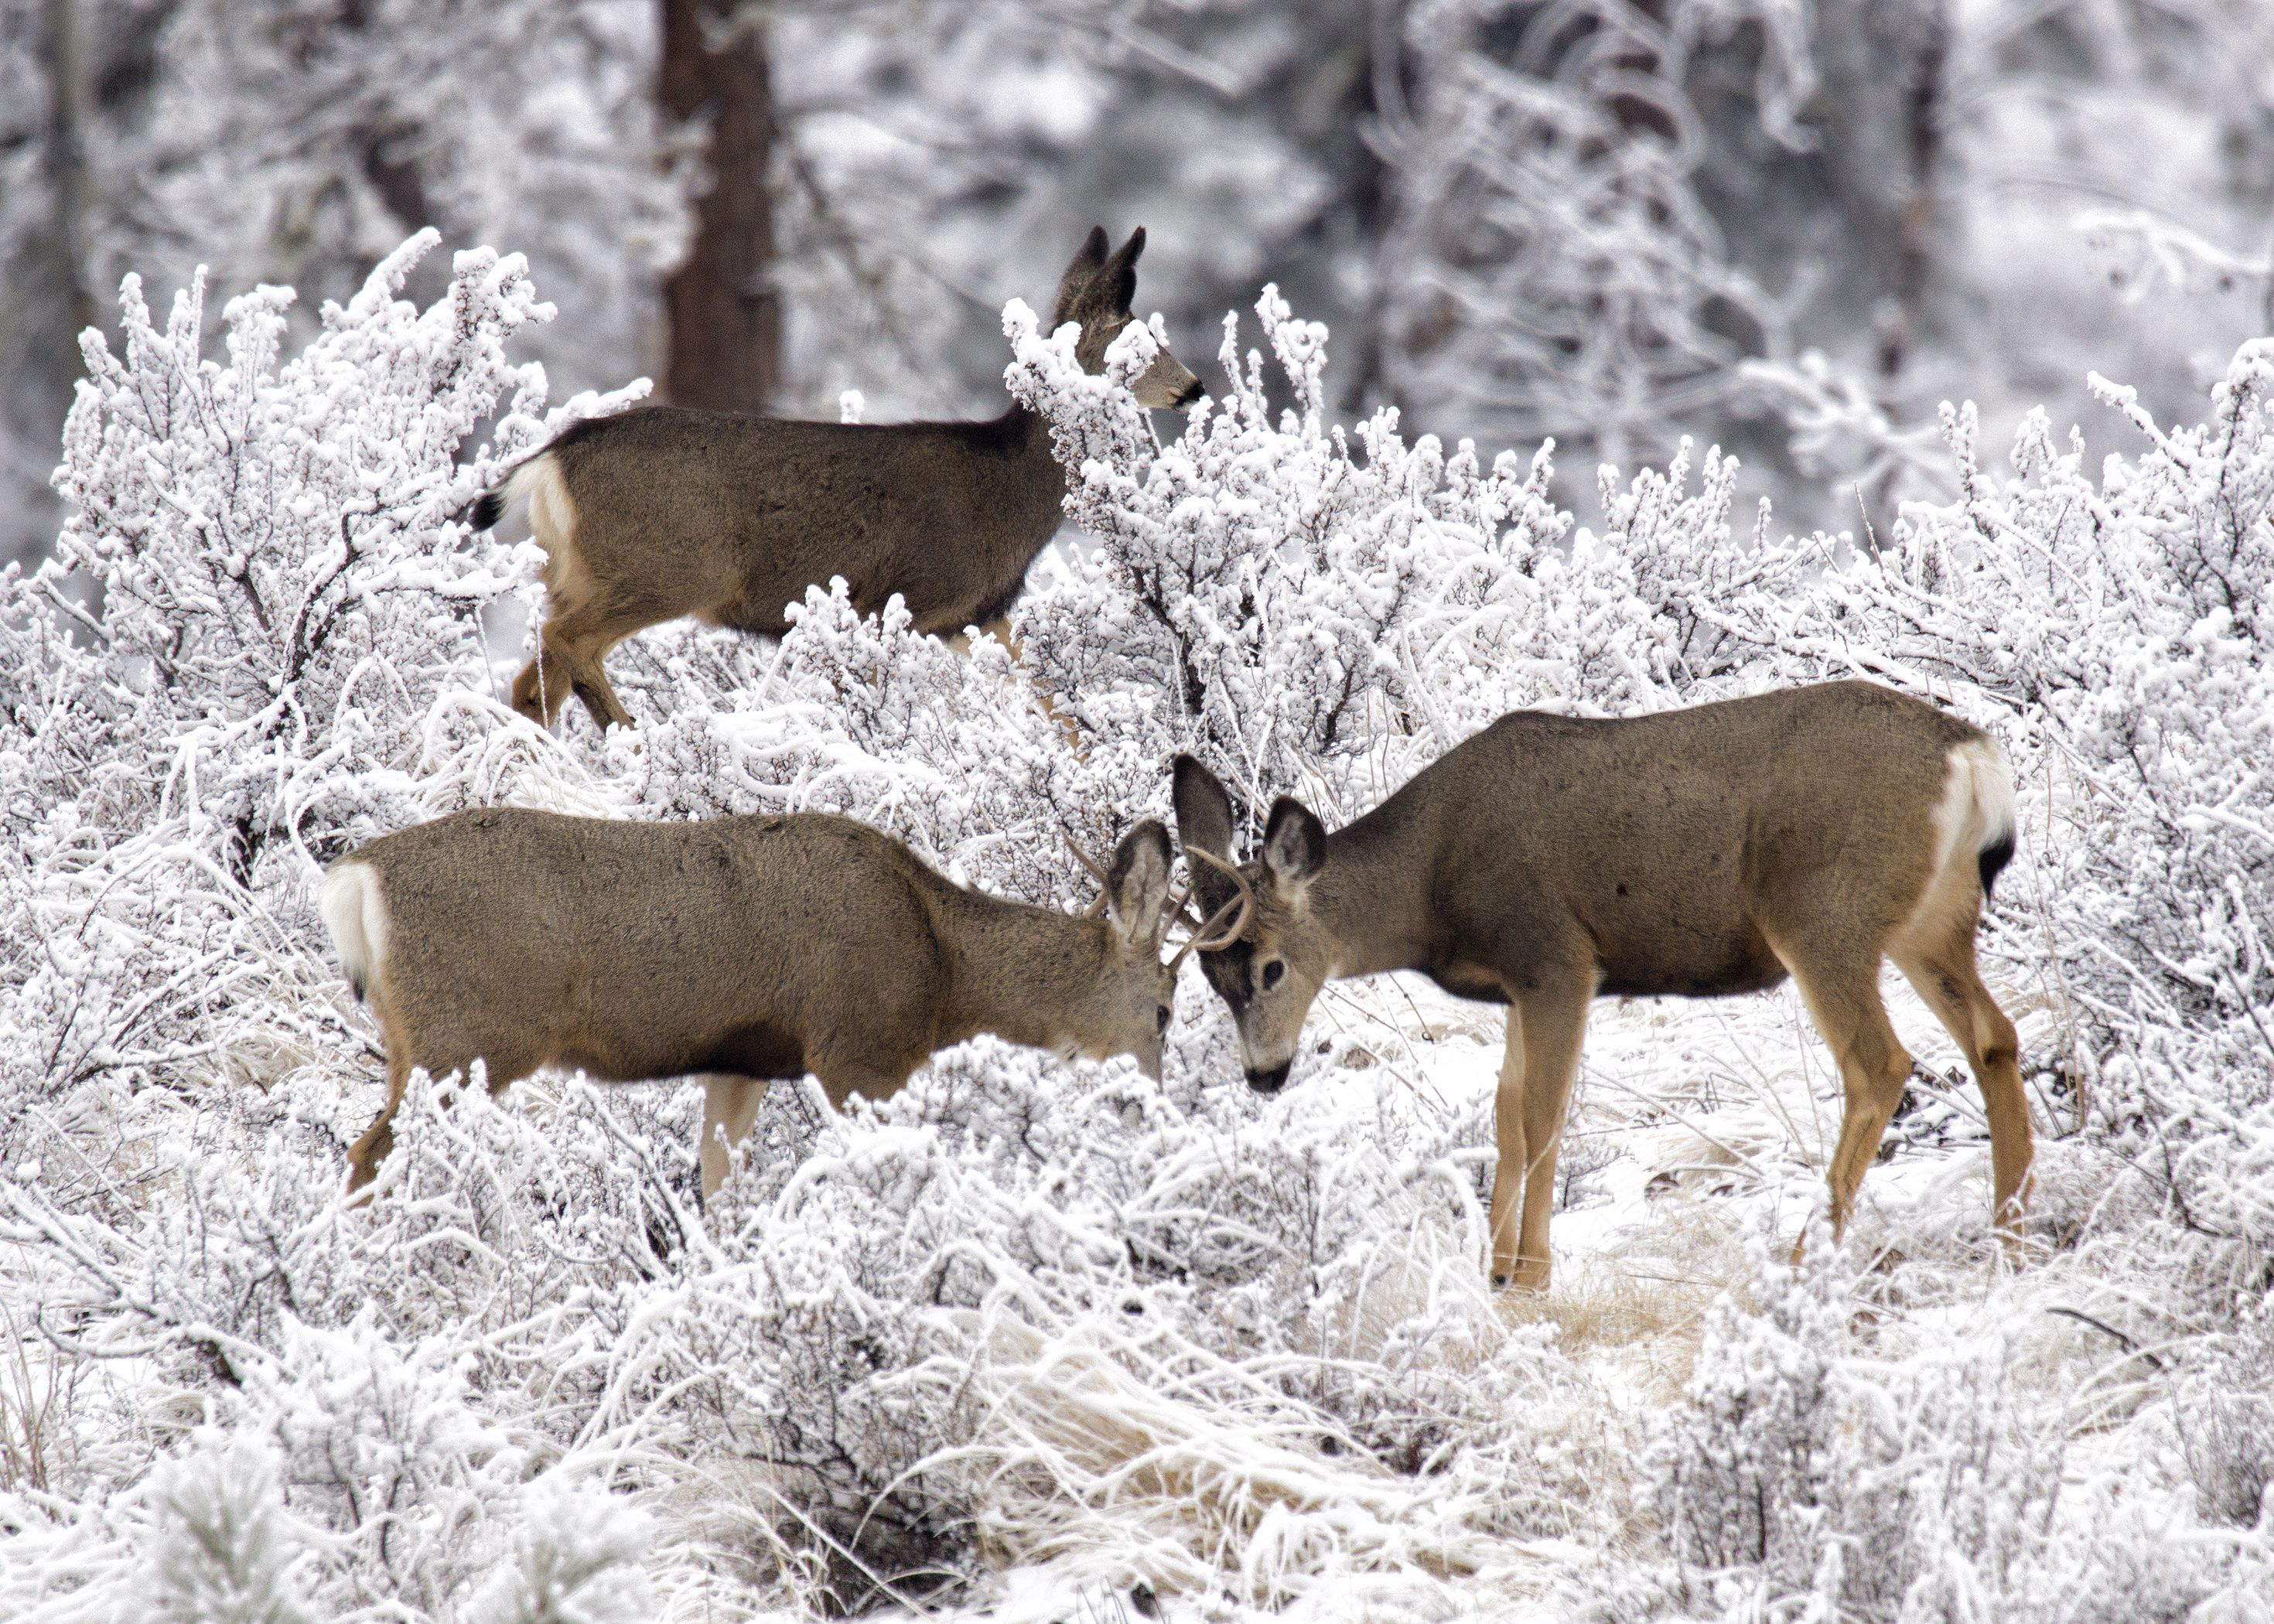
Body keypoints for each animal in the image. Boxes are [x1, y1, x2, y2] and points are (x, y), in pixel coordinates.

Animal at [321, 808, 1248, 1199]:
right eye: (1165, 1013)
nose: (1152, 1103)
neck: (942, 966)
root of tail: (355, 879)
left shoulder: (744, 1062)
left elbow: (719, 1188)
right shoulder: (856, 1049)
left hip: (423, 1040)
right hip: (466, 1036)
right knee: (370, 1152)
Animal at [469, 226, 1201, 732]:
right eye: (1134, 340)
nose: (1194, 388)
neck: (1008, 492)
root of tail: (552, 458)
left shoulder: (979, 614)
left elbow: (1056, 707)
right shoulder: (907, 597)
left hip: (573, 571)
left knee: (533, 678)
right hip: (668, 565)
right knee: (567, 643)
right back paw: (632, 741)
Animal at [1168, 680, 2034, 1291]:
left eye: (1271, 966)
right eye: (1209, 977)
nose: (1264, 1074)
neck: (1430, 884)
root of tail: (1971, 757)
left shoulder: (1555, 957)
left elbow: (1544, 1115)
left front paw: (1527, 1277)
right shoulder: (1518, 987)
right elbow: (1507, 1116)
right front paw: (1492, 1267)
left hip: (1823, 915)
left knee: (1878, 1063)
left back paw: (1802, 1261)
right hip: (1933, 921)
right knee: (1994, 1038)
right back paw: (2011, 1235)